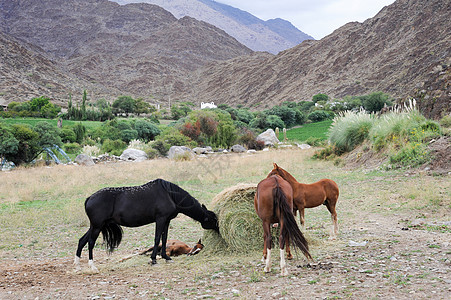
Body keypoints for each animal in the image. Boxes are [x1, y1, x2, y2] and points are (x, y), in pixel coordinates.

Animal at [74, 178, 219, 272]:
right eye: (213, 220)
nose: (219, 230)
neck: (169, 195)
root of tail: (89, 198)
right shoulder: (160, 219)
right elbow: (157, 239)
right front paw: (153, 260)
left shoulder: (166, 221)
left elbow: (164, 239)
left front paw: (166, 257)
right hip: (97, 226)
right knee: (91, 242)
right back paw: (93, 267)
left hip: (95, 226)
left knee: (82, 241)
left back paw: (77, 266)